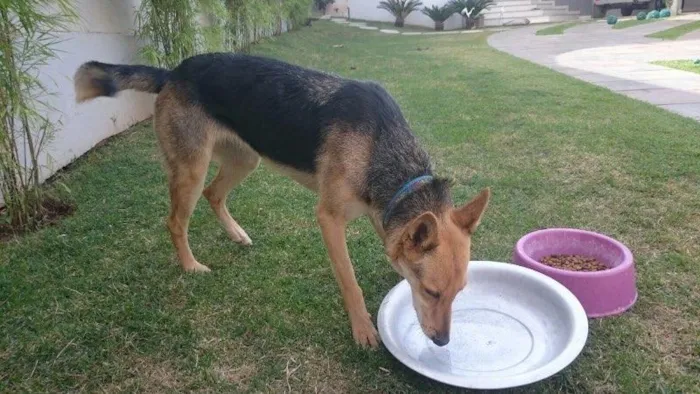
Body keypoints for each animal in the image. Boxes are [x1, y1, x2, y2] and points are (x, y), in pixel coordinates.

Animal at [74, 53, 490, 350]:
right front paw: (361, 328)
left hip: (245, 159)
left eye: (459, 293)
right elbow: (350, 281)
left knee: (214, 194)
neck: (383, 147)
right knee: (176, 221)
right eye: (432, 292)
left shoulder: (380, 212)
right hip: (191, 170)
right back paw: (191, 266)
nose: (443, 342)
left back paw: (236, 235)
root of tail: (174, 72)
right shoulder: (329, 218)